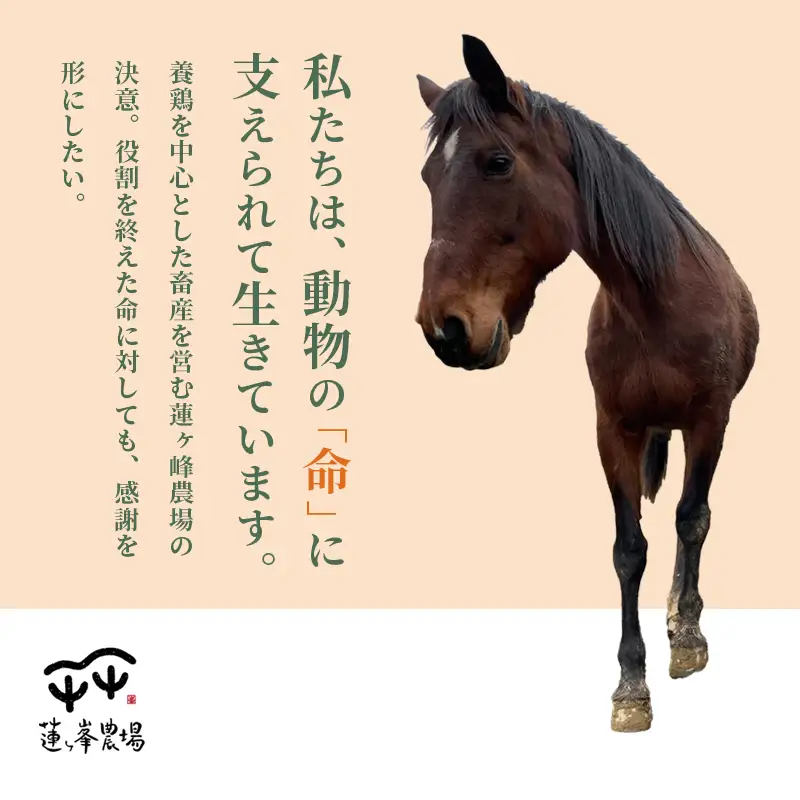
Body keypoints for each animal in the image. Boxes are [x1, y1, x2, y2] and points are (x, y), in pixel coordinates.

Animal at [414, 34, 759, 732]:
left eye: (497, 162)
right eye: (428, 177)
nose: (446, 330)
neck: (657, 306)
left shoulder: (710, 422)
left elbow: (691, 522)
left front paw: (687, 639)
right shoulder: (613, 430)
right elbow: (629, 549)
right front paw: (631, 684)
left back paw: (682, 615)